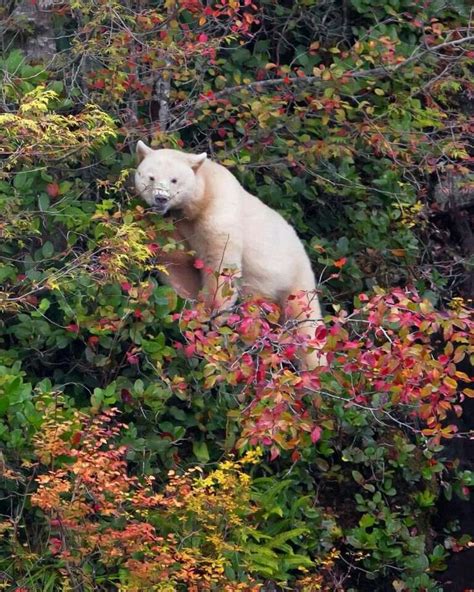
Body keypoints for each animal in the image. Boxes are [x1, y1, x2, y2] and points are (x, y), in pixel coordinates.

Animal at [135, 141, 324, 368]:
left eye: (174, 179)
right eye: (151, 177)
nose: (160, 198)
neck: (200, 198)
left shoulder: (218, 208)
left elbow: (220, 262)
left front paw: (213, 315)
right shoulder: (176, 225)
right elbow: (178, 262)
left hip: (296, 280)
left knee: (306, 326)